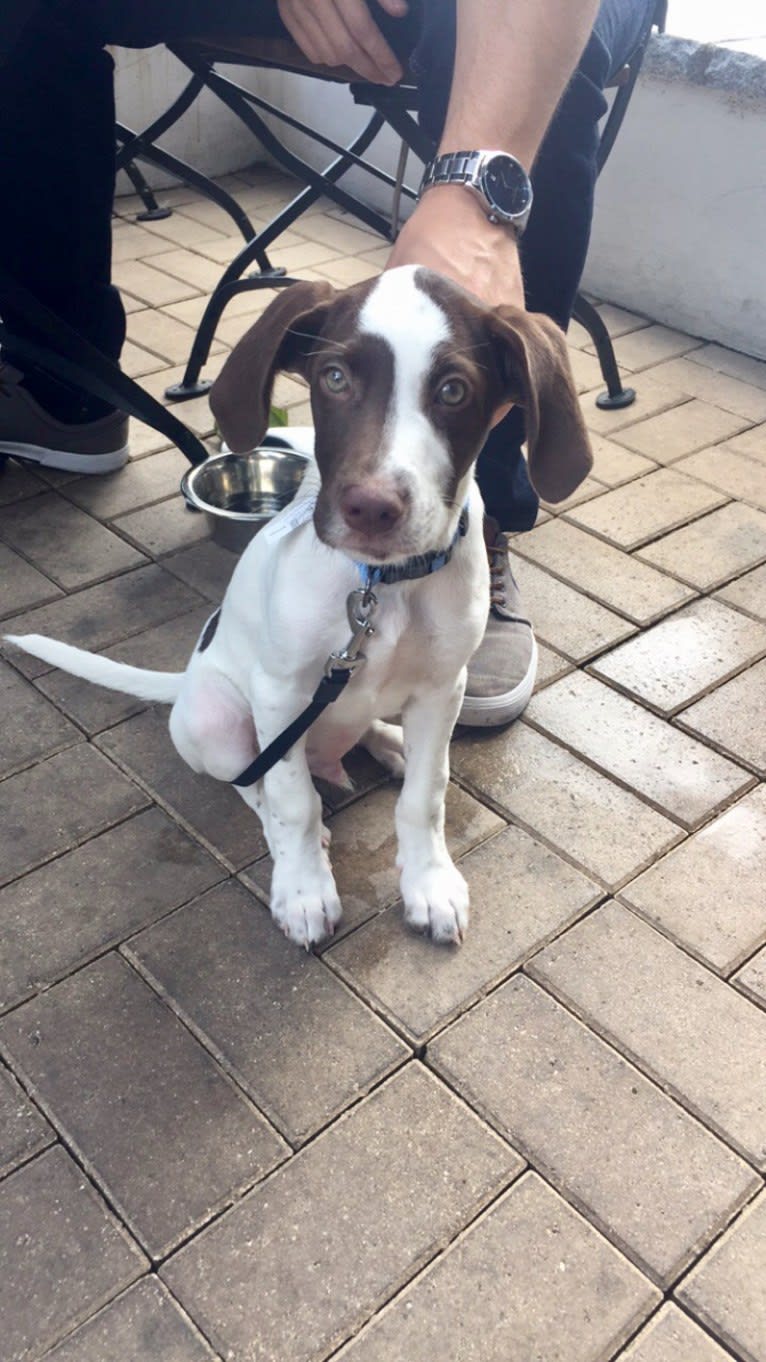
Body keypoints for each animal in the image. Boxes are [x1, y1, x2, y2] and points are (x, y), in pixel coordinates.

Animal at [7, 265, 591, 947]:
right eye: (334, 378)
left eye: (453, 391)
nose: (371, 507)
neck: (381, 586)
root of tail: (185, 682)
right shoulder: (282, 693)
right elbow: (293, 802)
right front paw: (305, 890)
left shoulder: (444, 687)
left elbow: (428, 793)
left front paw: (429, 883)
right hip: (216, 722)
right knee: (251, 782)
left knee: (360, 736)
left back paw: (388, 743)